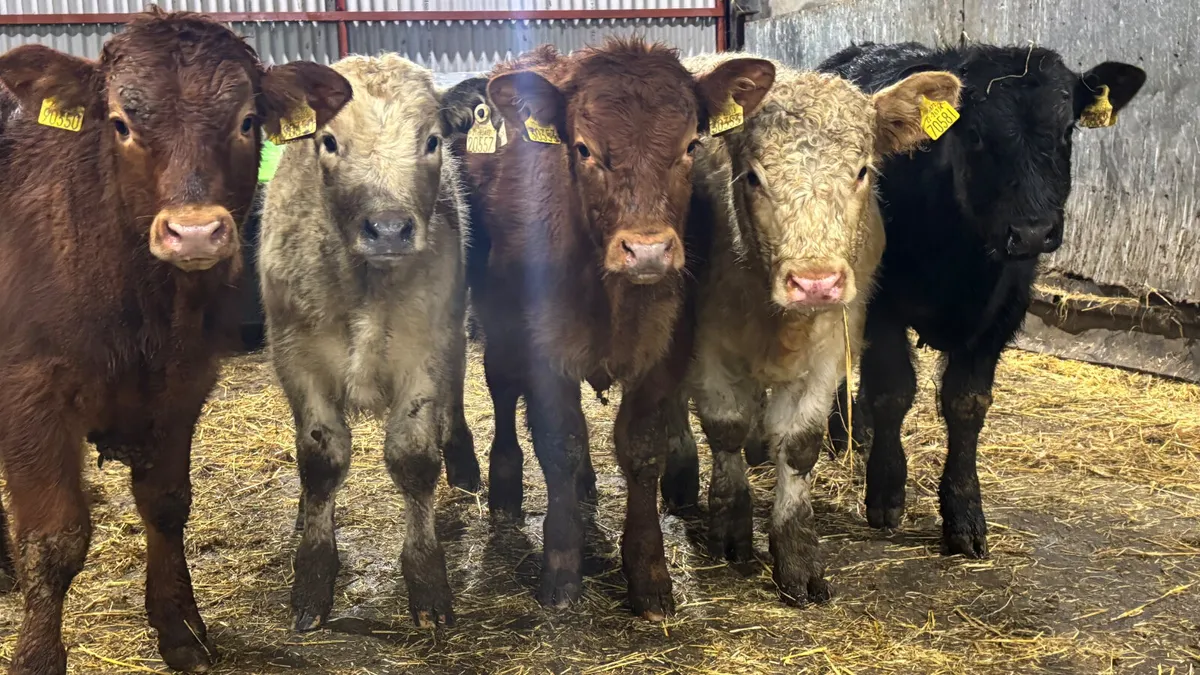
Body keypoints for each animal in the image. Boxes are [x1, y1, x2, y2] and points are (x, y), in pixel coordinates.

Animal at [0, 9, 351, 673]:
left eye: (247, 120)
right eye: (120, 122)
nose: (194, 233)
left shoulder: (184, 384)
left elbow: (166, 504)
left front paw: (180, 628)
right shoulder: (30, 393)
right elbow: (53, 538)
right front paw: (36, 657)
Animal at [259, 53, 483, 632]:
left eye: (431, 140)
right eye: (328, 141)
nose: (388, 228)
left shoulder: (424, 350)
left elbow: (414, 458)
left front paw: (427, 581)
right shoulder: (297, 357)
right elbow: (319, 461)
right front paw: (313, 579)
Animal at [456, 40, 774, 620]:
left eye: (691, 144)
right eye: (583, 149)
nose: (647, 251)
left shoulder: (665, 351)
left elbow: (640, 451)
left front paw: (648, 572)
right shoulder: (543, 349)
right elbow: (558, 443)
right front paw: (562, 566)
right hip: (495, 320)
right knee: (503, 391)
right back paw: (506, 486)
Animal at [658, 54, 962, 605]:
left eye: (862, 170)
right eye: (753, 177)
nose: (815, 281)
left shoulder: (832, 346)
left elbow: (799, 444)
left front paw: (796, 555)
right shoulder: (707, 347)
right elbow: (724, 429)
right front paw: (730, 526)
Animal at [819, 42, 1145, 558]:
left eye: (1067, 130)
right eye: (973, 134)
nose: (1031, 230)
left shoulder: (1002, 312)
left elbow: (967, 403)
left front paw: (965, 514)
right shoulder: (883, 302)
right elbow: (895, 392)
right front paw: (886, 492)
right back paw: (842, 433)